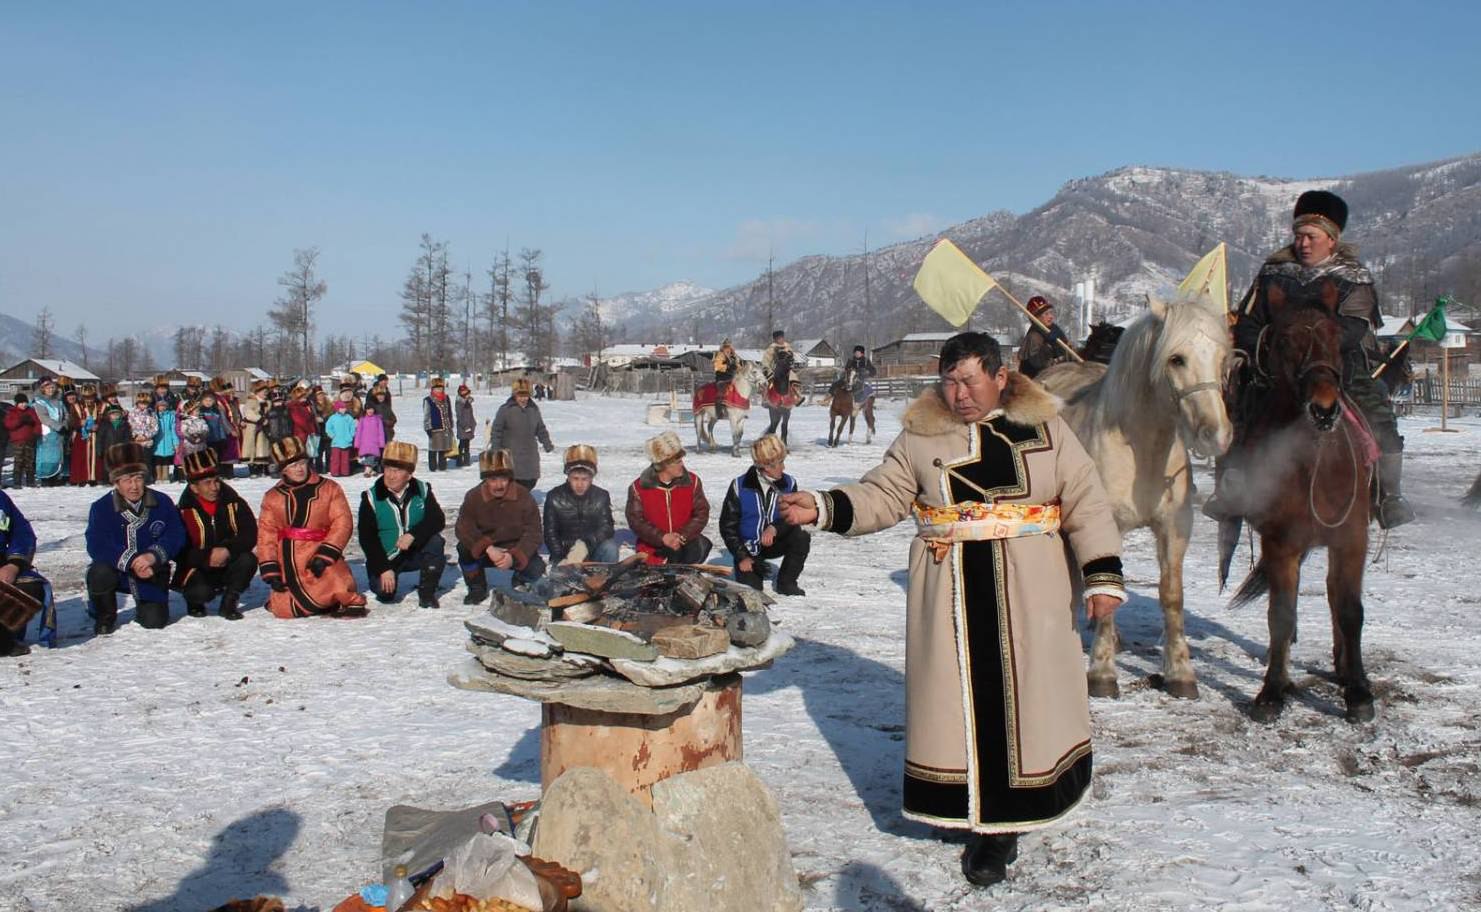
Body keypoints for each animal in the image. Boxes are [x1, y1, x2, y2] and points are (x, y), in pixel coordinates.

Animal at [1036, 291, 1232, 698]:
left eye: (1223, 358)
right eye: (1176, 359)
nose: (1216, 435)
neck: (1143, 449)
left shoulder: (1175, 528)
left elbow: (1171, 595)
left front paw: (1180, 673)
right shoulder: (1105, 524)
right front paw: (1101, 673)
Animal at [1226, 281, 1374, 722]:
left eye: (1335, 336)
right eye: (1284, 340)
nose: (1324, 409)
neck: (1312, 465)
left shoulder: (1351, 540)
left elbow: (1350, 610)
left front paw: (1359, 692)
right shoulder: (1281, 543)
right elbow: (1281, 615)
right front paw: (1274, 690)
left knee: (1335, 596)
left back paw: (1345, 668)